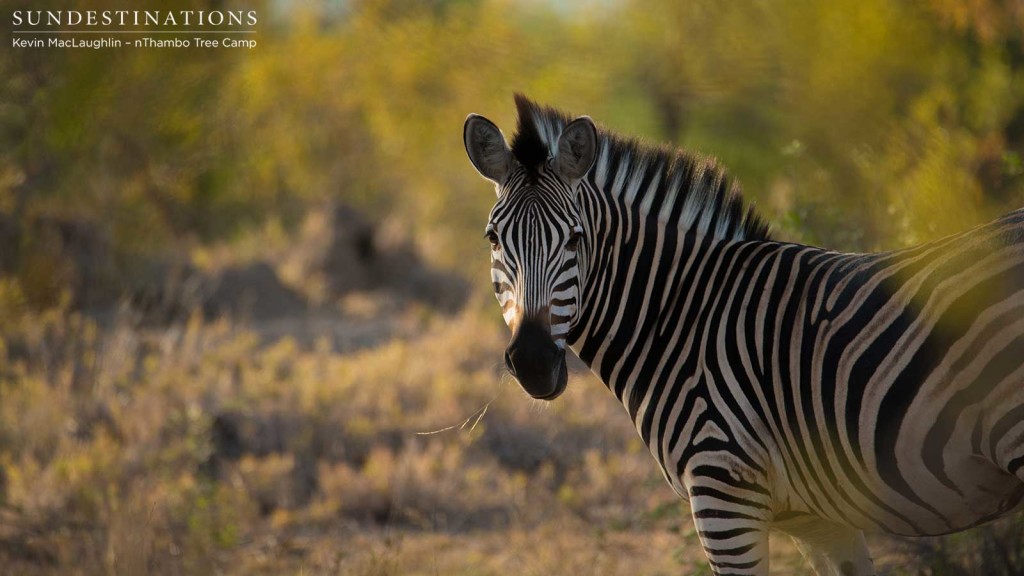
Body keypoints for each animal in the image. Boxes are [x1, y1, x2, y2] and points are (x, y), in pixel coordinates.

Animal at [466, 91, 1024, 569]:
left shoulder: (723, 495)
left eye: (576, 240)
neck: (682, 315)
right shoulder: (816, 518)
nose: (534, 361)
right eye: (493, 239)